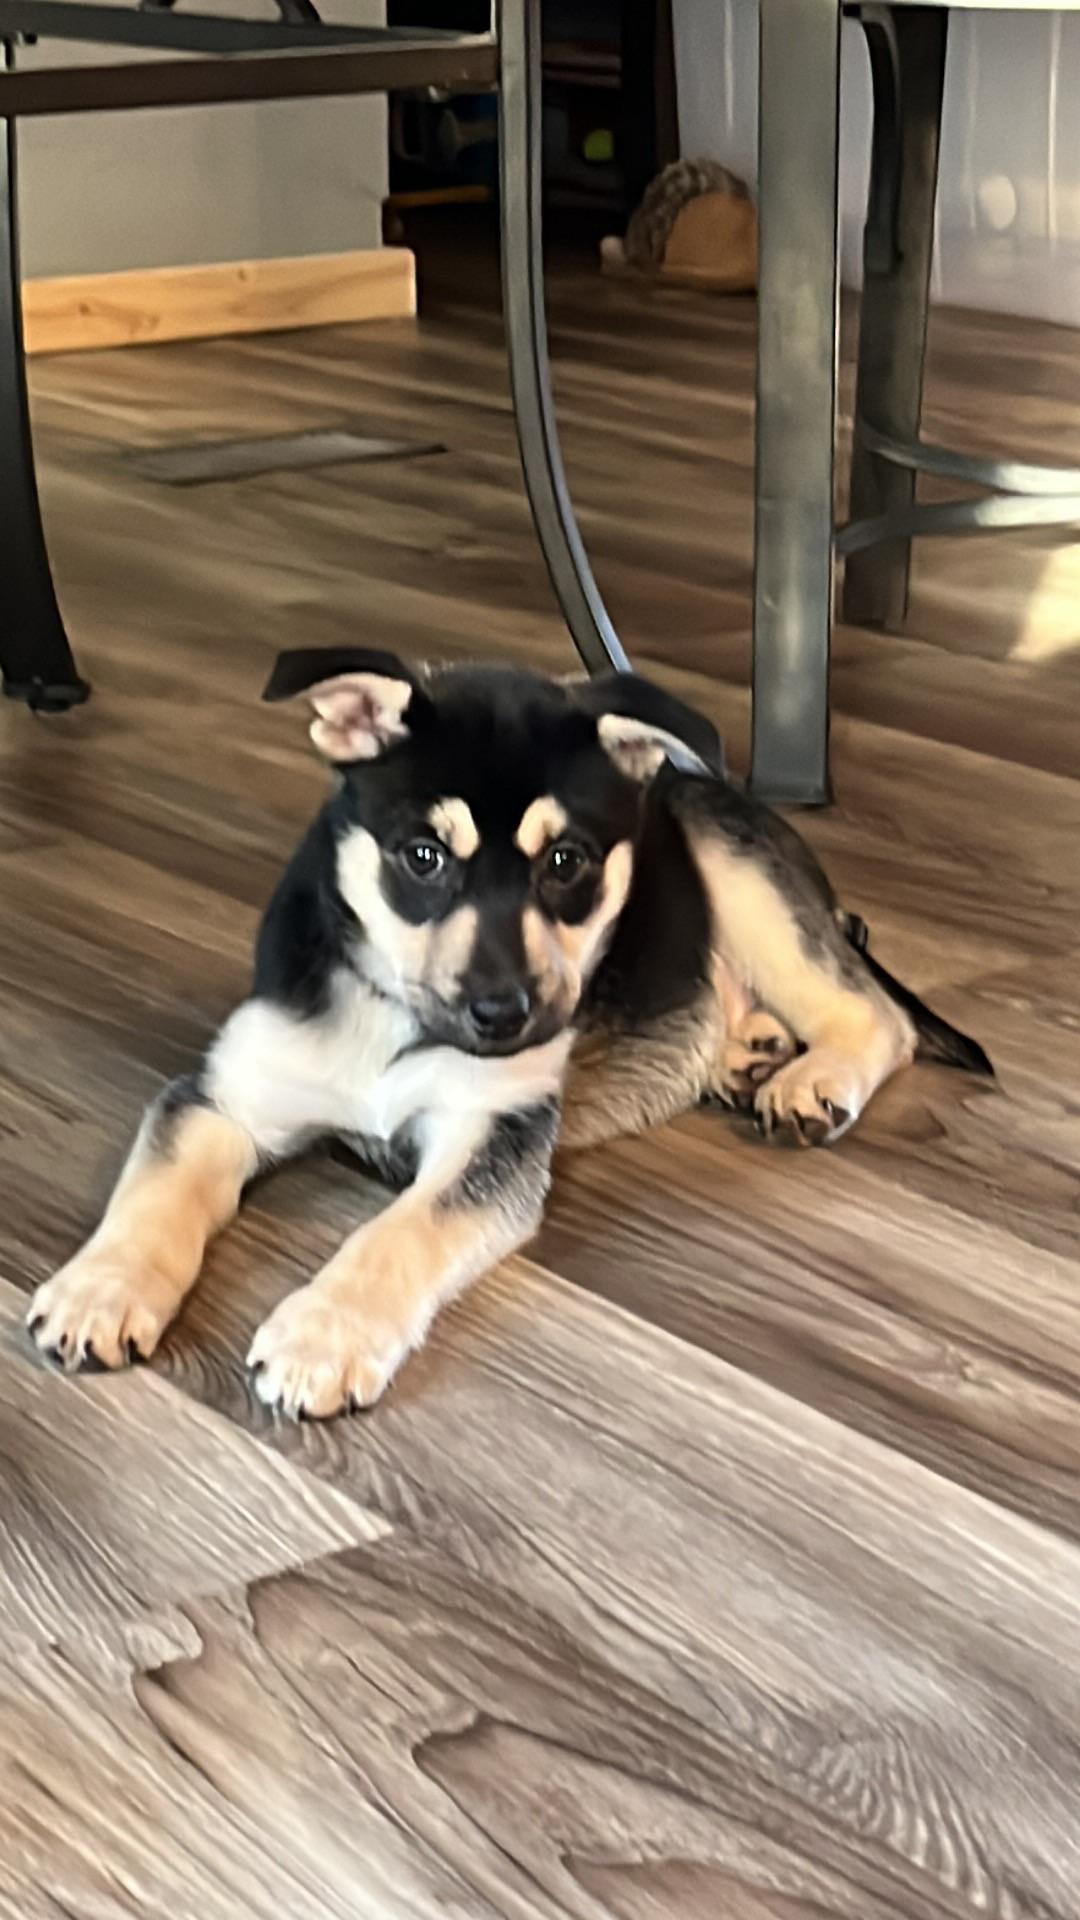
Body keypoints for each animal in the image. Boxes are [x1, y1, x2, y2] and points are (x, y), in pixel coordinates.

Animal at [26, 651, 991, 1417]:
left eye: (566, 863)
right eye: (422, 857)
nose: (505, 1016)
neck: (398, 1018)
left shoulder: (493, 1133)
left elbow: (397, 1234)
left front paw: (322, 1337)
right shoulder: (224, 1099)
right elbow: (155, 1193)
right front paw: (99, 1290)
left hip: (734, 864)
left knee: (876, 1014)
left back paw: (811, 1078)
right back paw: (736, 1047)